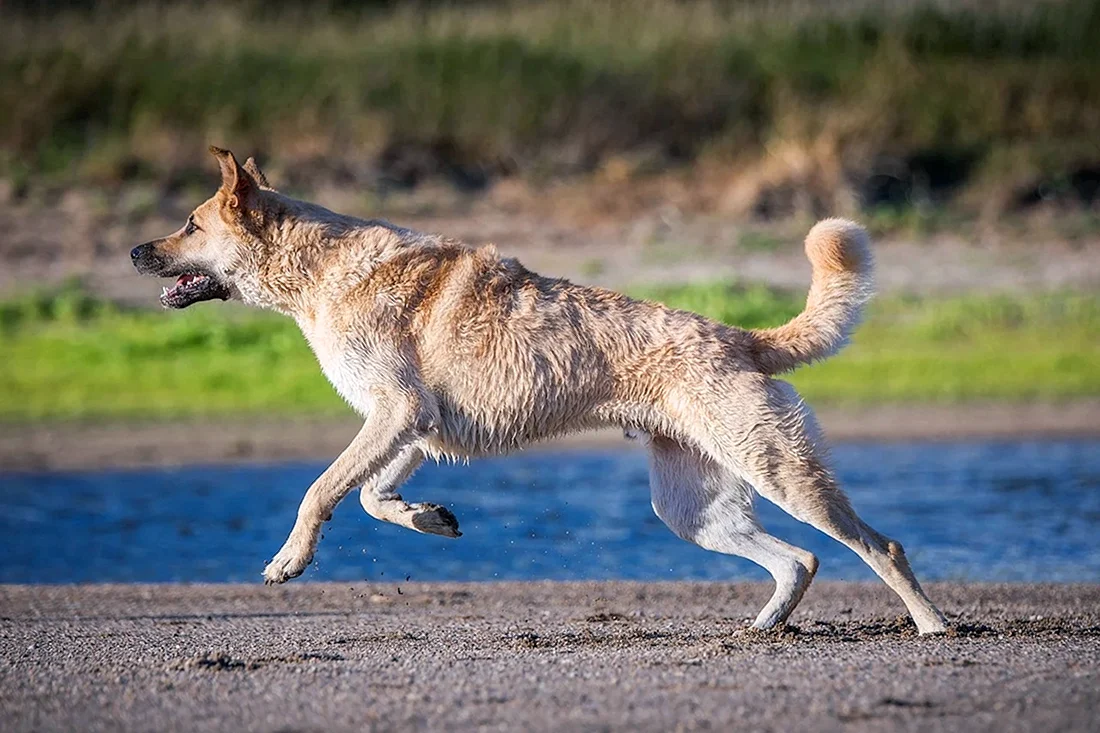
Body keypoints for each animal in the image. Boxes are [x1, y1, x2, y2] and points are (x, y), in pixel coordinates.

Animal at [133, 145, 946, 629]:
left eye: (190, 223)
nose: (137, 251)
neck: (319, 271)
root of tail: (738, 336)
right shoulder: (414, 426)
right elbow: (368, 495)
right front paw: (429, 518)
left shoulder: (396, 412)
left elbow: (322, 490)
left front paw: (289, 561)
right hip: (693, 507)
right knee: (799, 560)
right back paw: (762, 627)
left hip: (780, 472)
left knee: (880, 545)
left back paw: (933, 625)